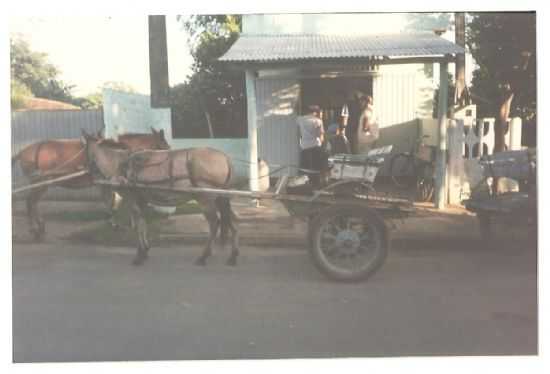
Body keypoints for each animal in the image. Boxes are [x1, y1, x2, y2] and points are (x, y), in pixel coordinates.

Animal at [11, 128, 169, 240]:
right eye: (164, 145)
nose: (170, 155)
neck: (117, 152)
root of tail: (24, 151)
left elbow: (114, 201)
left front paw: (118, 222)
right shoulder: (107, 182)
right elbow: (112, 201)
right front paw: (115, 223)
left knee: (34, 203)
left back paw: (40, 227)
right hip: (41, 181)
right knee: (30, 202)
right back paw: (35, 229)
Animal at [85, 134, 240, 266]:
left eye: (84, 150)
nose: (90, 177)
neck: (122, 165)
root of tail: (224, 157)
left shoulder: (133, 200)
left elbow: (138, 226)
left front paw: (139, 255)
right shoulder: (142, 201)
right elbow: (143, 225)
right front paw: (145, 250)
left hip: (206, 199)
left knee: (214, 224)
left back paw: (203, 257)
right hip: (220, 198)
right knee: (232, 221)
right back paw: (232, 257)